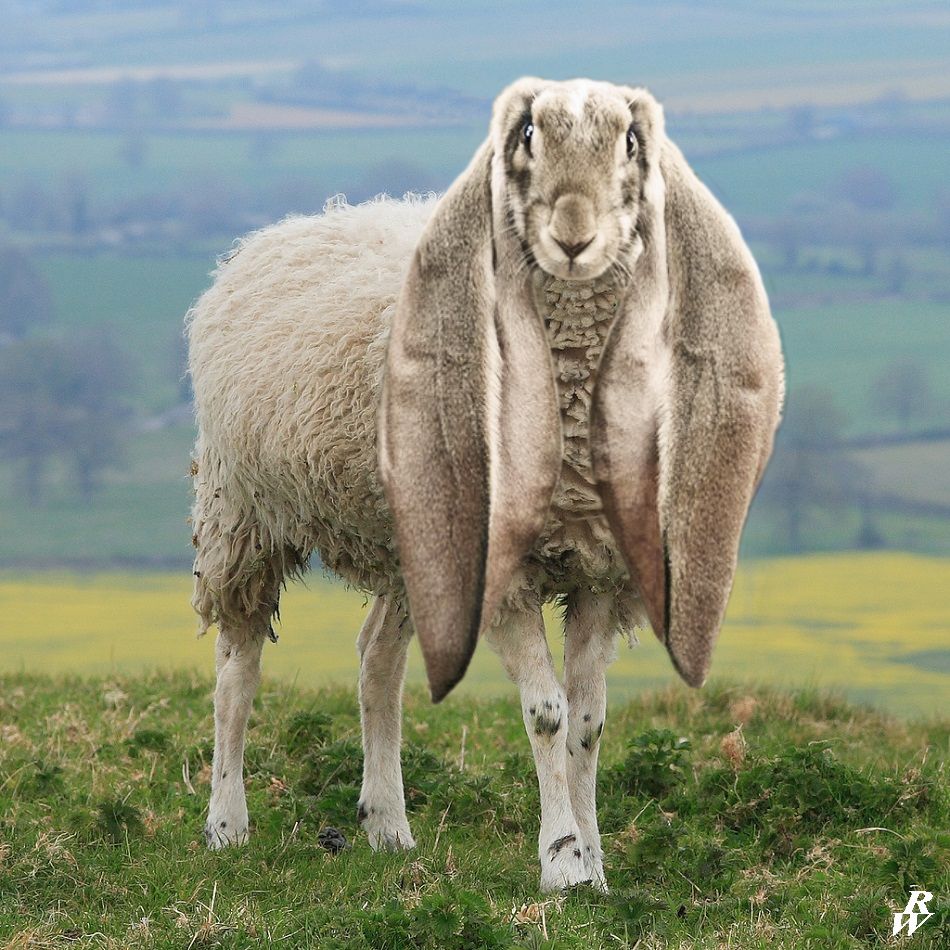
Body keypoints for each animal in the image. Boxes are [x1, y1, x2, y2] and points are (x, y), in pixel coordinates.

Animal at [188, 80, 788, 892]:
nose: (575, 233)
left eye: (629, 146)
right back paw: (227, 823)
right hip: (243, 511)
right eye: (532, 139)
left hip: (416, 545)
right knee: (237, 670)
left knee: (376, 663)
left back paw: (387, 825)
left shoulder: (602, 572)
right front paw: (562, 862)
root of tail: (280, 234)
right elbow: (547, 715)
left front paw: (596, 865)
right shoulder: (505, 575)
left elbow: (589, 723)